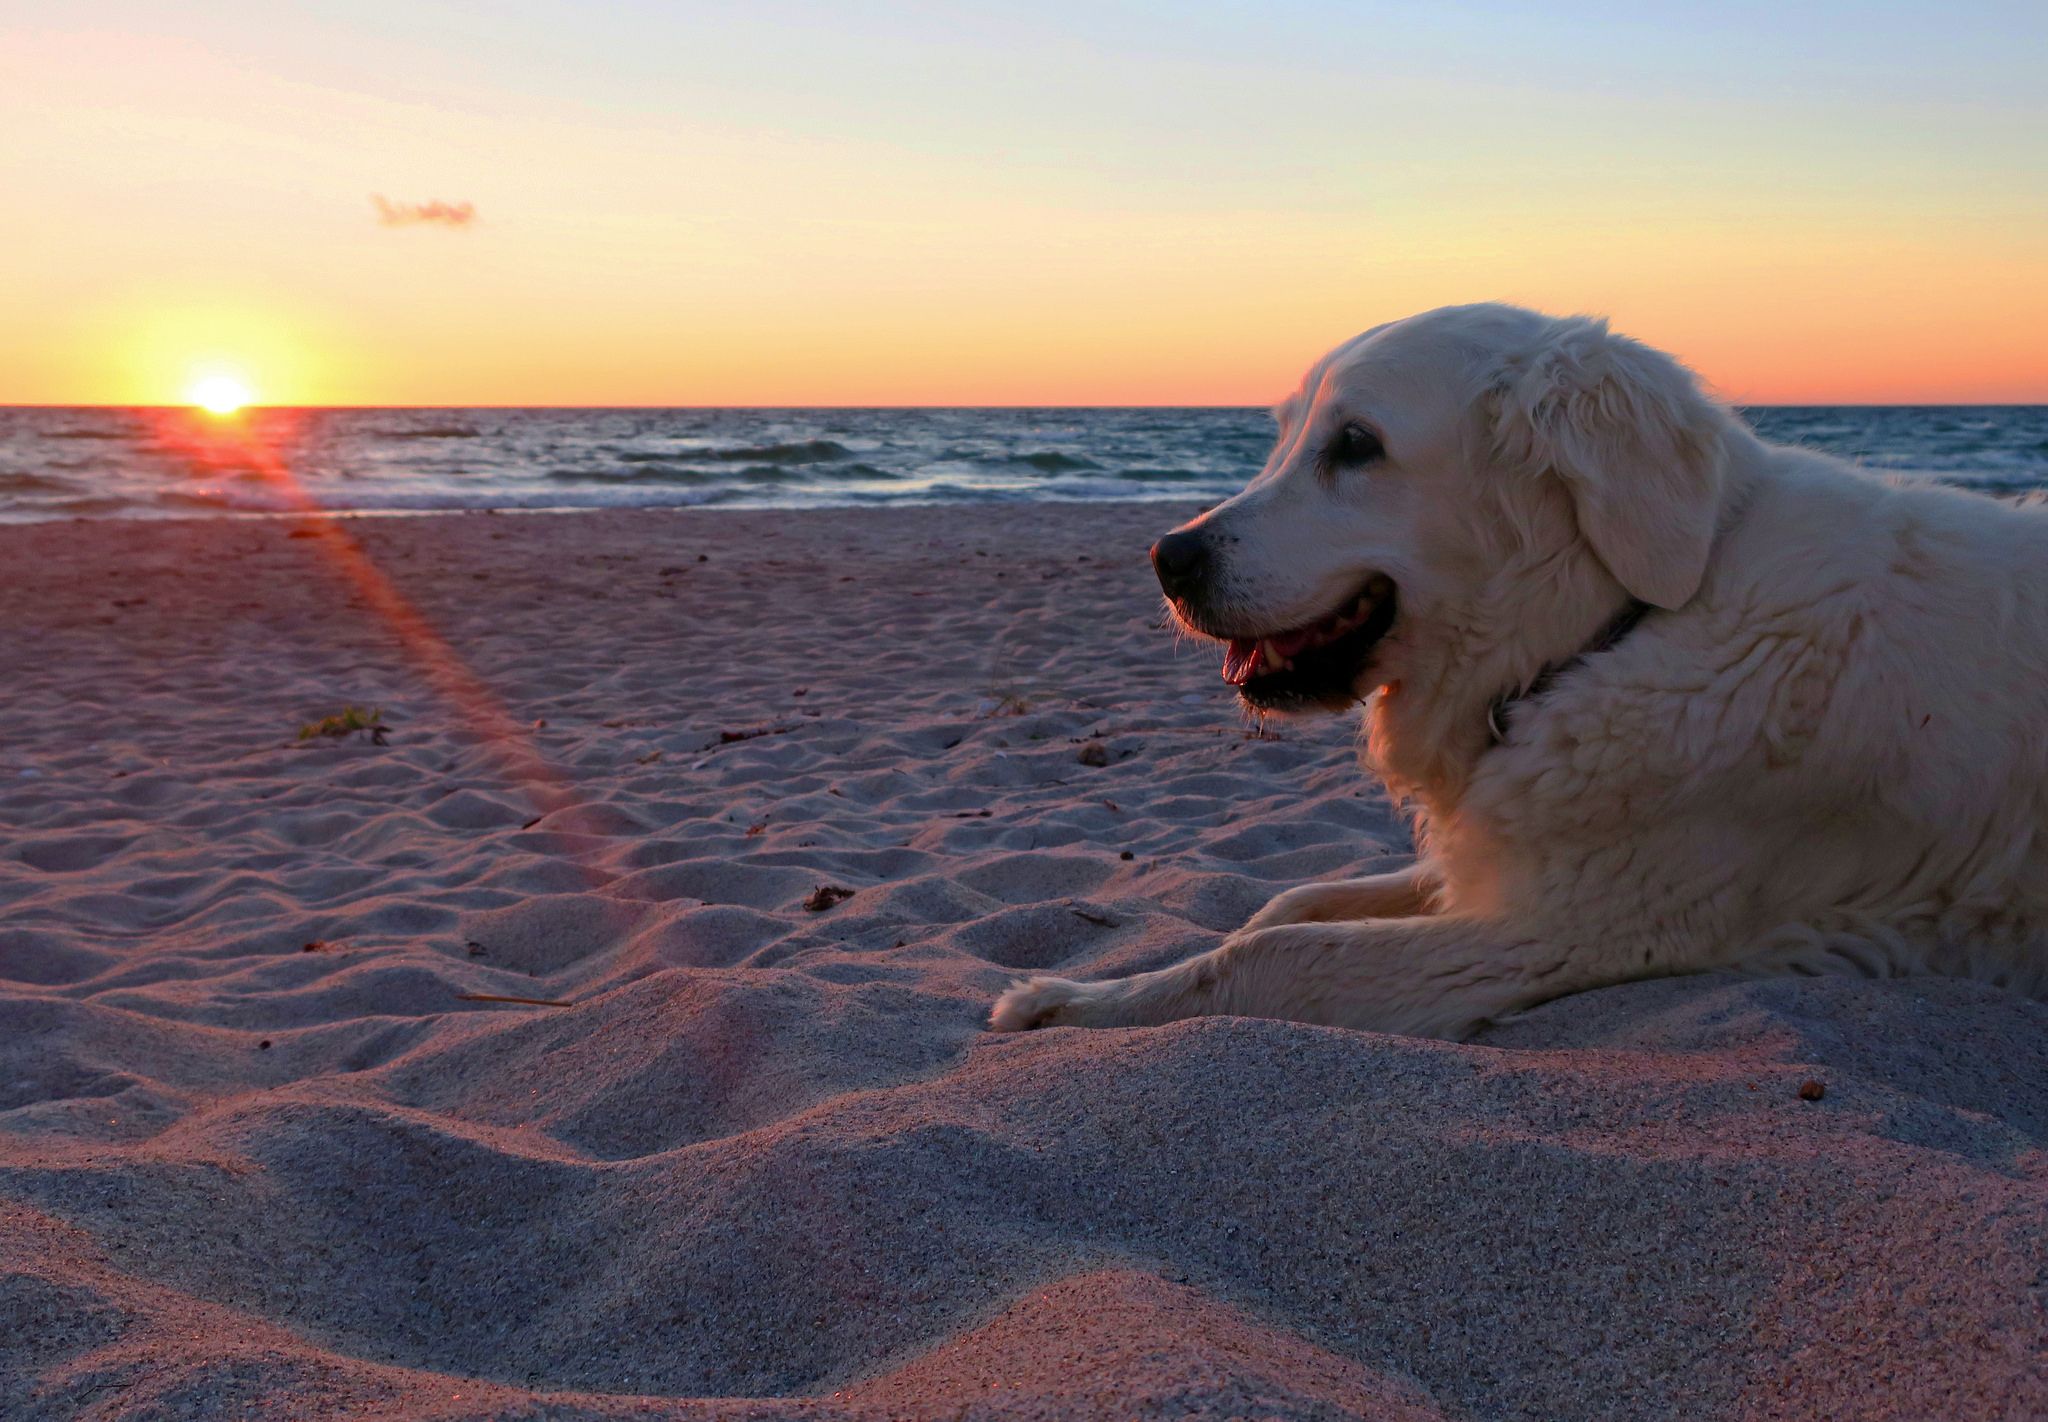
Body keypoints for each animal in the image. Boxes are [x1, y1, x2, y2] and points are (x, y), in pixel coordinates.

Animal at [987, 301, 2048, 1040]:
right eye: (1284, 437)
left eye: (1356, 445)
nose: (1167, 557)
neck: (1613, 632)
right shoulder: (1498, 866)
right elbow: (1288, 903)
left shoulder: (1566, 931)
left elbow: (1278, 954)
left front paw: (1067, 1003)